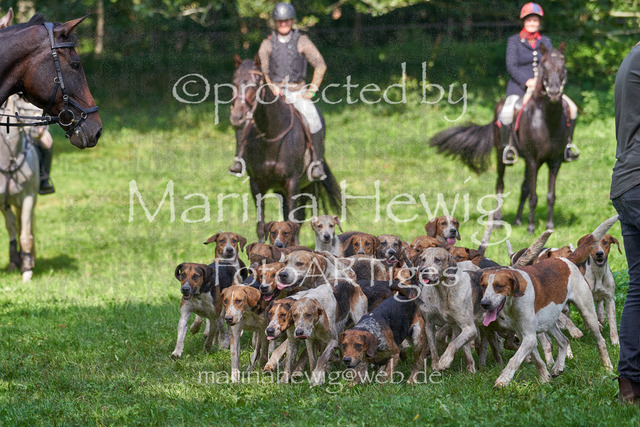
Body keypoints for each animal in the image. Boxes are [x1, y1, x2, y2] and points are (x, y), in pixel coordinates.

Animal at [229, 54, 341, 241]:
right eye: (234, 81)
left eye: (256, 82)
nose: (237, 117)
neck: (270, 136)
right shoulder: (256, 184)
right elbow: (261, 226)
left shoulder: (292, 182)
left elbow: (294, 223)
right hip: (280, 190)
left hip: (309, 185)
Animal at [430, 43, 574, 234]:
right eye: (543, 66)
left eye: (563, 66)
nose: (554, 92)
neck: (547, 120)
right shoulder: (533, 160)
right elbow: (534, 196)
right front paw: (531, 228)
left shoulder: (554, 161)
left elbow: (550, 195)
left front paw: (549, 227)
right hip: (501, 155)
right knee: (500, 184)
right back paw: (498, 221)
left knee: (524, 187)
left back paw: (518, 220)